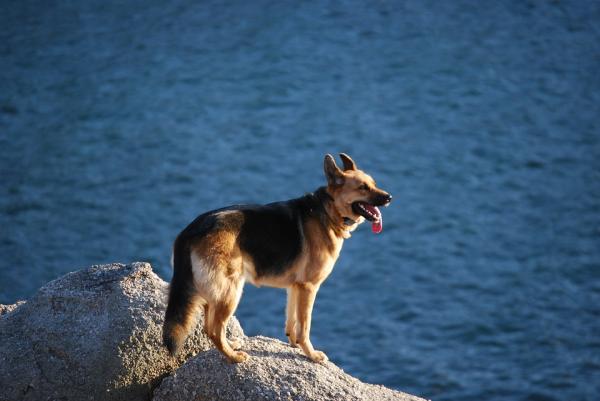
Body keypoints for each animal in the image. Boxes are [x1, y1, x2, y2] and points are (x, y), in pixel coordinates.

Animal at [162, 153, 392, 362]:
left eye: (373, 184)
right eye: (363, 187)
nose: (389, 197)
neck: (328, 209)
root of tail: (190, 231)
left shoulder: (295, 287)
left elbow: (292, 320)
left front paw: (294, 344)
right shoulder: (309, 287)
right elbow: (305, 326)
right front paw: (311, 354)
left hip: (214, 291)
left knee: (209, 326)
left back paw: (231, 345)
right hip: (230, 290)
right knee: (213, 329)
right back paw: (234, 357)